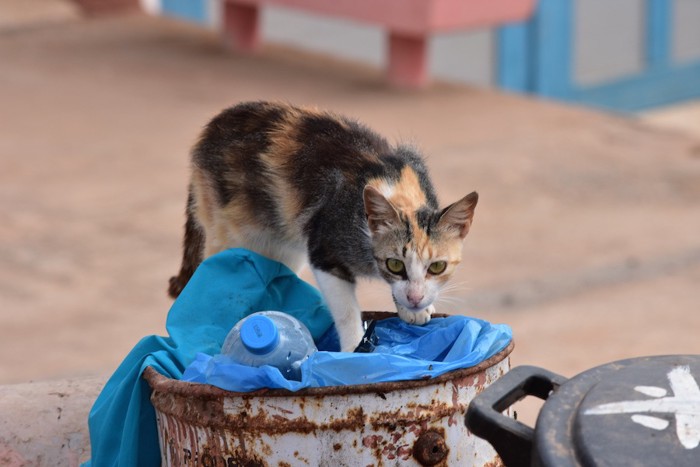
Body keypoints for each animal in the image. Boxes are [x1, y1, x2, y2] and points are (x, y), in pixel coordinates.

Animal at [167, 101, 478, 352]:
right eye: (395, 264)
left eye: (437, 267)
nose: (415, 298)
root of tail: (210, 129)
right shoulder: (324, 250)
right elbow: (346, 311)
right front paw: (354, 349)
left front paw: (411, 309)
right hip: (228, 233)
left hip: (284, 249)